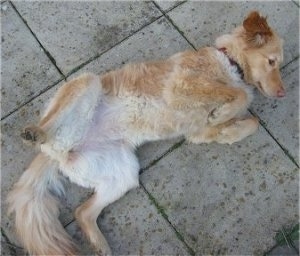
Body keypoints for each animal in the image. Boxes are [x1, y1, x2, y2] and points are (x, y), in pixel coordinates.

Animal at [6, 11, 284, 255]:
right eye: (272, 61)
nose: (283, 93)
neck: (231, 63)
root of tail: (59, 152)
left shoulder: (196, 132)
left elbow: (251, 121)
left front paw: (230, 129)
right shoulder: (182, 86)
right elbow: (236, 95)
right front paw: (225, 112)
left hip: (124, 174)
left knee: (82, 212)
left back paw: (100, 245)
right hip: (87, 81)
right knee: (47, 131)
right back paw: (34, 133)